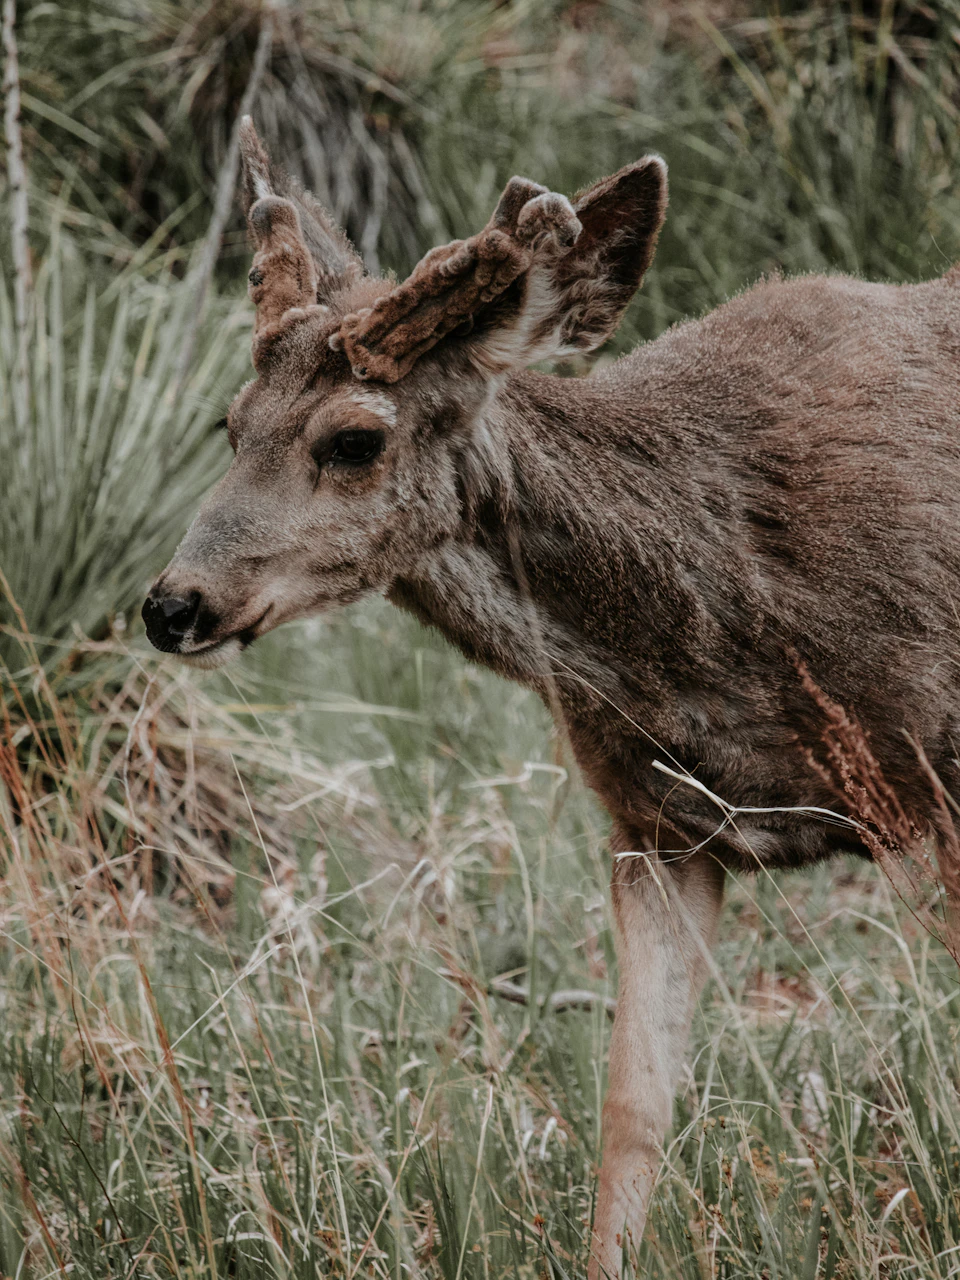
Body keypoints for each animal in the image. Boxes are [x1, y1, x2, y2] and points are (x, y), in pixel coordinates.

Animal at [143, 116, 960, 1277]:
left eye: (355, 439)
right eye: (229, 422)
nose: (174, 605)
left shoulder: (935, 779)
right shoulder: (659, 826)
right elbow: (632, 1104)